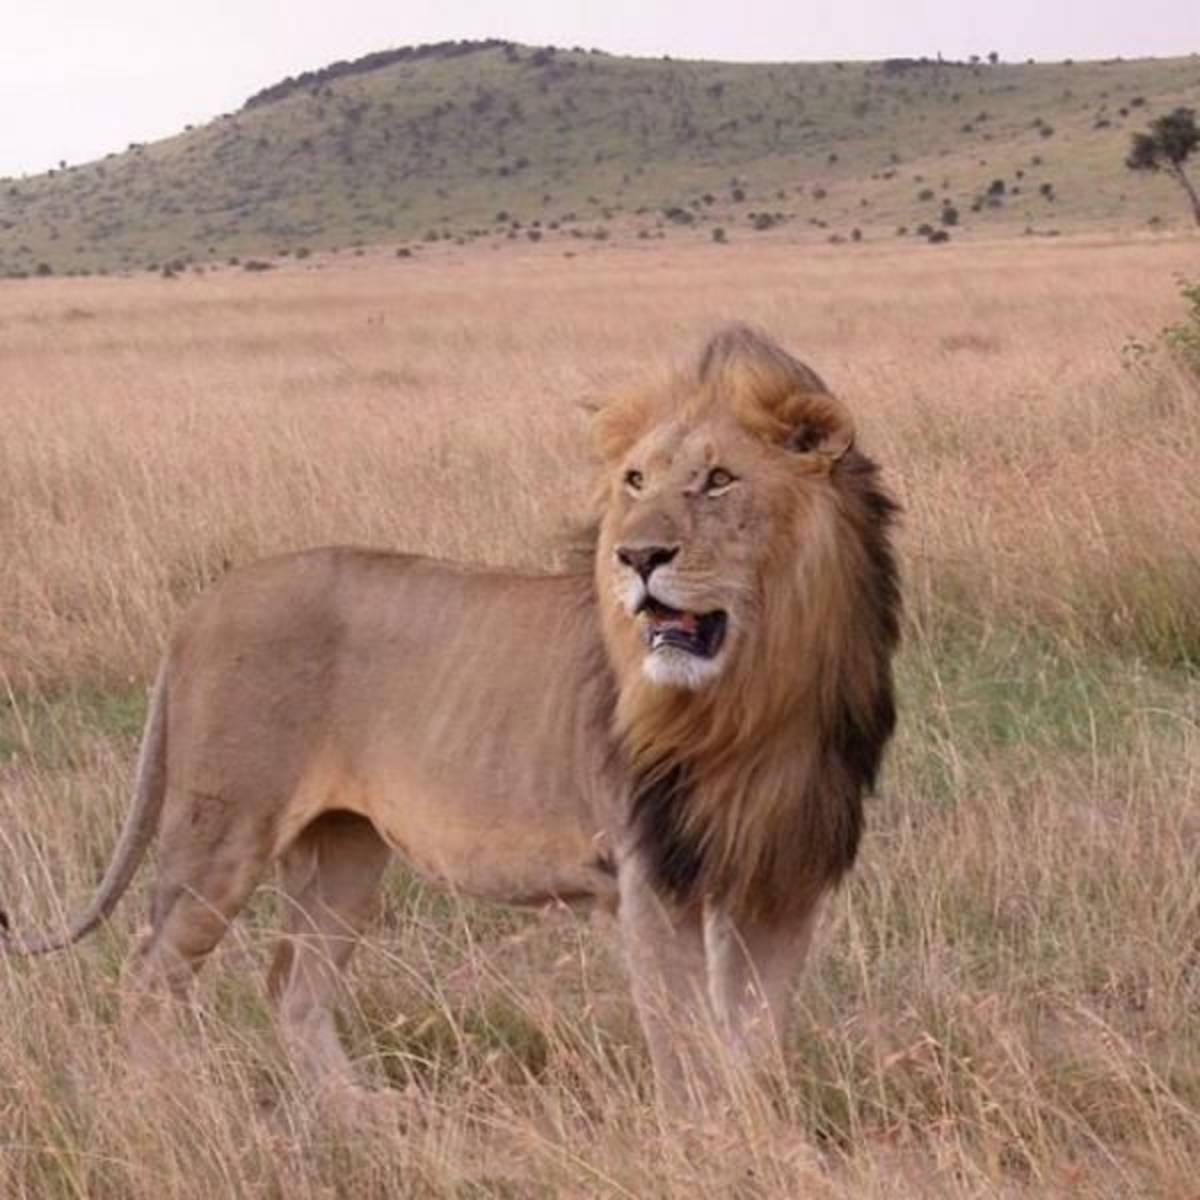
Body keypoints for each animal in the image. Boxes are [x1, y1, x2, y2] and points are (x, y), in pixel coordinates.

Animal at [1, 325, 900, 1110]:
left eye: (718, 481)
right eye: (636, 483)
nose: (636, 558)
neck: (756, 696)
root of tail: (200, 608)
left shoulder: (782, 881)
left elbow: (756, 1043)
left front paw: (766, 1136)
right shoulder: (651, 875)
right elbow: (684, 1044)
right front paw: (701, 1140)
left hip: (344, 852)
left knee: (293, 986)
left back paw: (359, 1122)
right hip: (220, 835)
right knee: (149, 972)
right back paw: (159, 1108)